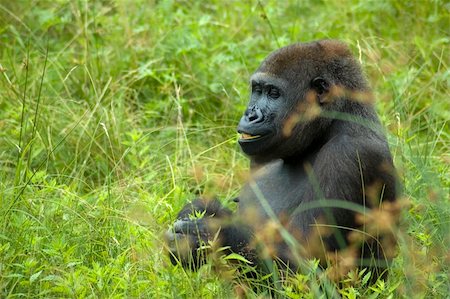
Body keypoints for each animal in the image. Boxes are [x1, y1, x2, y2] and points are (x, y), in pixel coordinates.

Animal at [167, 40, 400, 282]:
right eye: (257, 90)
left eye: (273, 93)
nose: (250, 115)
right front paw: (201, 208)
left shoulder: (350, 156)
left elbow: (305, 266)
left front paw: (209, 232)